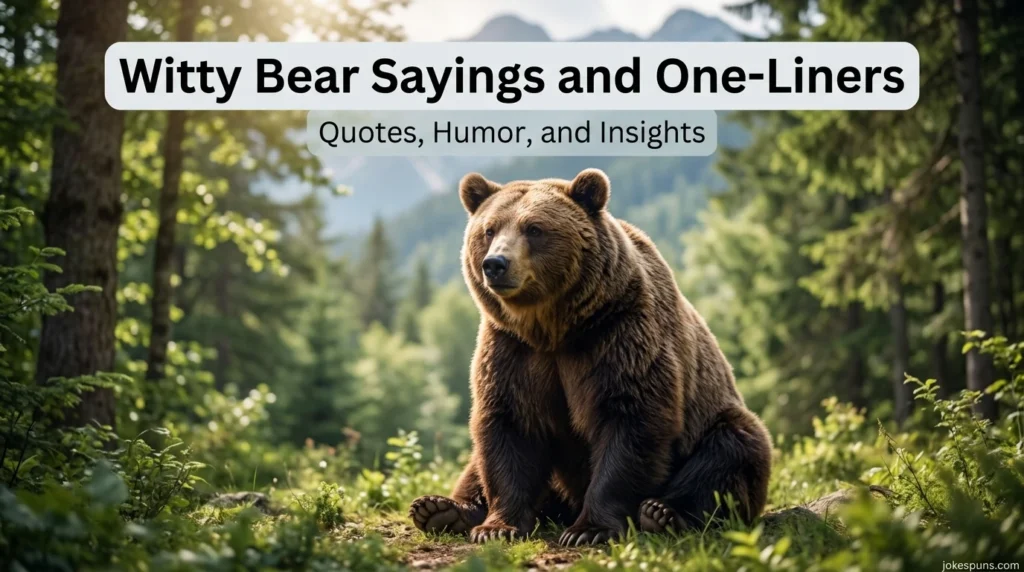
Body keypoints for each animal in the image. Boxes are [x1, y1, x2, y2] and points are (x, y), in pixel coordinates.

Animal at [409, 169, 772, 546]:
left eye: (534, 228)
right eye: (489, 229)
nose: (495, 264)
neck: (553, 328)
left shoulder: (618, 334)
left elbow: (629, 419)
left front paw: (589, 530)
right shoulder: (512, 349)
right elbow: (509, 426)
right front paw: (497, 527)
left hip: (714, 420)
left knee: (730, 450)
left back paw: (663, 513)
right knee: (474, 465)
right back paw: (439, 509)